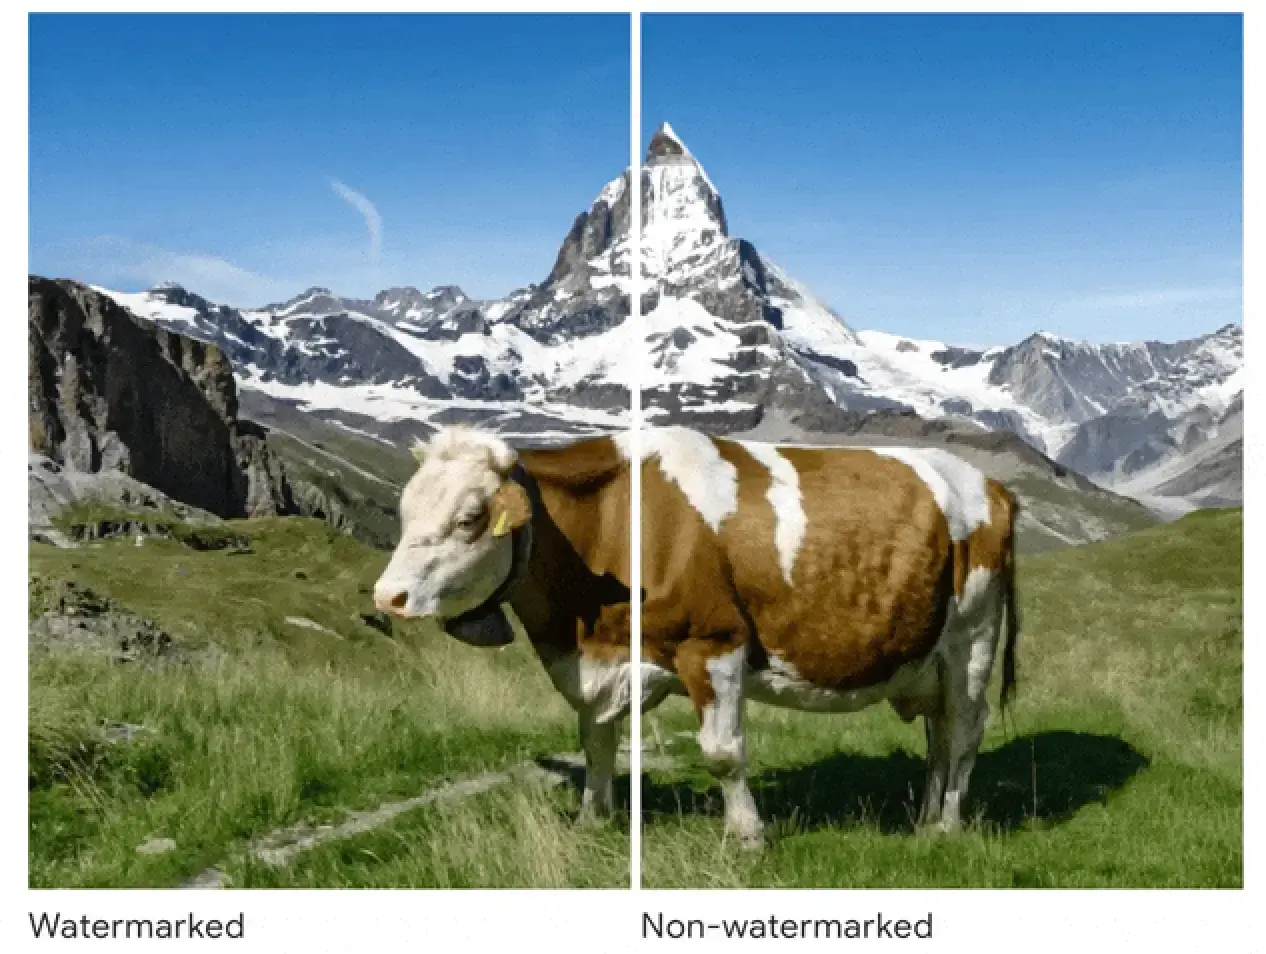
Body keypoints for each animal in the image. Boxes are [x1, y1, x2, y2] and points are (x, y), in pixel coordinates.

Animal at [374, 424, 1019, 848]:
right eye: (404, 512)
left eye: (468, 519)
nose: (388, 596)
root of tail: (990, 485)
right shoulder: (602, 666)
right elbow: (597, 743)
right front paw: (592, 819)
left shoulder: (714, 644)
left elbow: (723, 753)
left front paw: (748, 836)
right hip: (928, 656)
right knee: (938, 735)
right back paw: (924, 819)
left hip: (972, 639)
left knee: (964, 730)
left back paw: (948, 825)